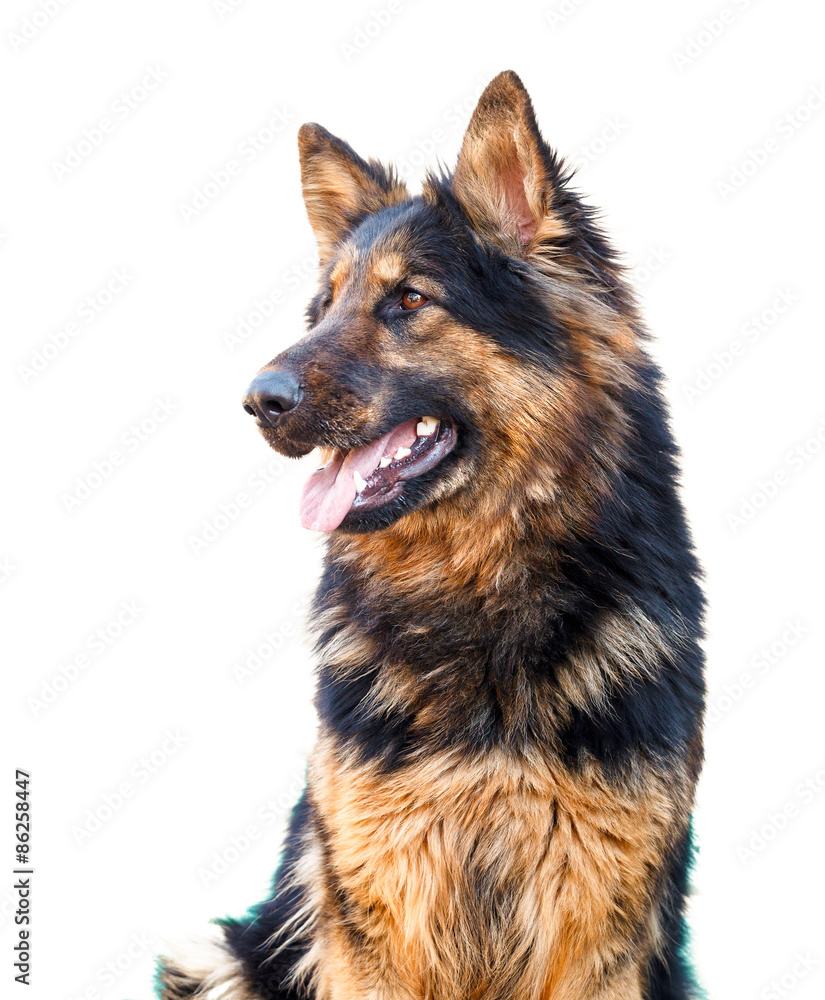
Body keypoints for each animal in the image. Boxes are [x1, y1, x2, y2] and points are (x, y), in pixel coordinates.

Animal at [158, 72, 704, 1000]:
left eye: (408, 299)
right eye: (323, 307)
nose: (258, 401)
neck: (474, 596)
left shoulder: (596, 931)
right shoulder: (378, 915)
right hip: (232, 956)